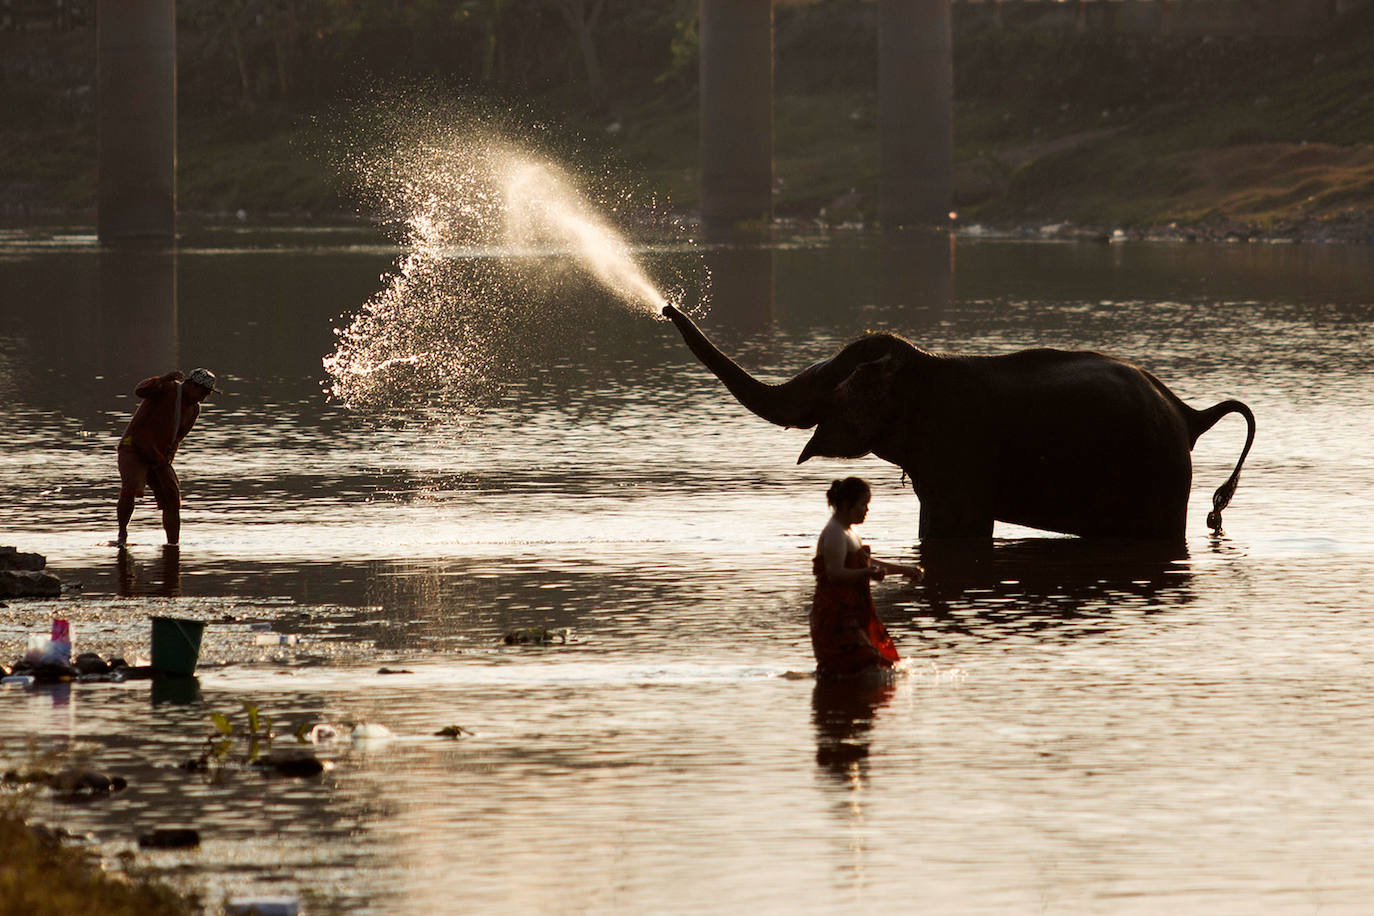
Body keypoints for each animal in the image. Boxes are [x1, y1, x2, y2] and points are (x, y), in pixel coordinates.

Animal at [662, 304, 1258, 541]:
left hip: (1160, 478)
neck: (922, 363)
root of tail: (1189, 413)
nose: (666, 308)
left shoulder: (958, 452)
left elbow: (956, 530)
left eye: (828, 384)